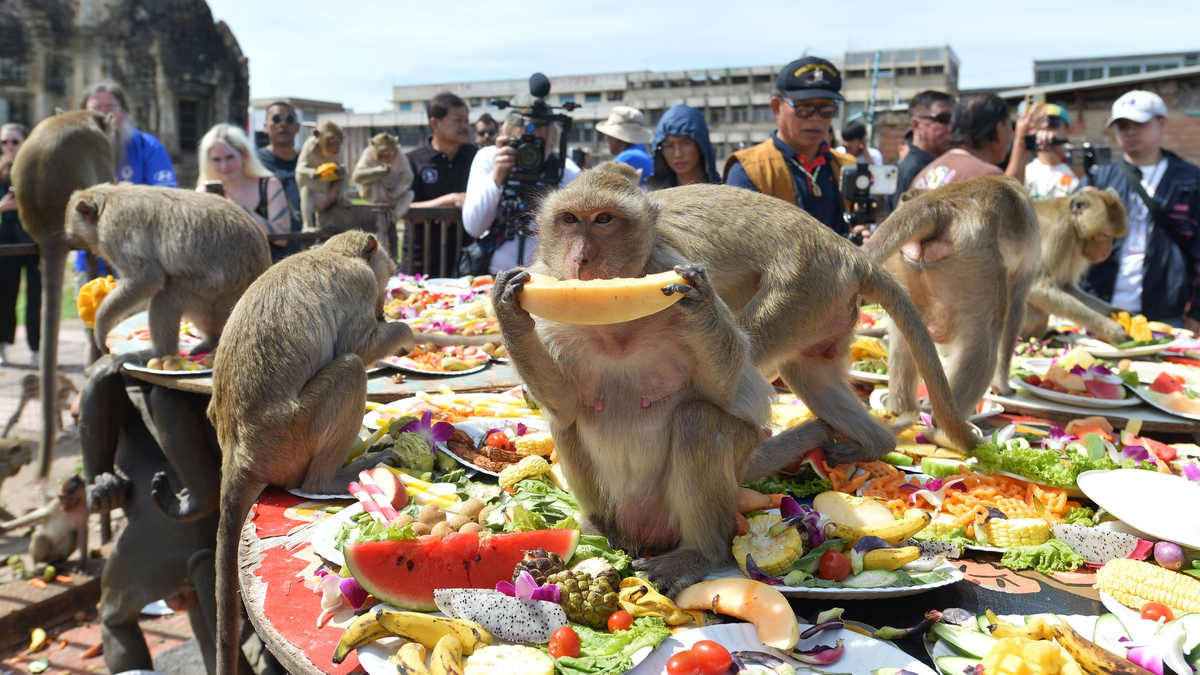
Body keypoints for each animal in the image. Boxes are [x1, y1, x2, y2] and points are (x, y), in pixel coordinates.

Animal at [65, 184, 272, 359]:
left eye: (73, 233)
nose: (70, 243)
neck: (108, 200)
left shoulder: (113, 231)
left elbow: (148, 278)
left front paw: (101, 324)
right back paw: (210, 341)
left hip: (216, 297)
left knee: (169, 293)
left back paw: (158, 353)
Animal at [205, 231, 415, 675]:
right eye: (385, 282)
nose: (383, 309)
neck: (331, 252)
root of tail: (237, 450)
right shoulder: (358, 284)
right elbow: (359, 345)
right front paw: (403, 332)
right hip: (293, 437)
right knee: (351, 367)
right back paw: (330, 479)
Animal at [493, 165, 961, 595]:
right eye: (570, 220)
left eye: (604, 219)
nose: (582, 259)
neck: (614, 325)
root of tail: (847, 250)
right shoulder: (551, 303)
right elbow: (565, 402)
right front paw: (507, 308)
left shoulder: (669, 264)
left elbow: (725, 393)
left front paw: (699, 302)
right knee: (568, 422)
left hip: (801, 293)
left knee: (700, 421)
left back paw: (698, 552)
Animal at [864, 175, 1041, 418]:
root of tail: (938, 204)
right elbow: (1015, 308)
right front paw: (1002, 385)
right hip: (978, 267)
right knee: (984, 344)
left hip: (904, 267)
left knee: (905, 338)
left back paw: (902, 409)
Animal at [1020, 190, 1131, 345]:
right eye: (1104, 234)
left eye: (1112, 236)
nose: (1107, 252)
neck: (1072, 220)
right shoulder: (1060, 231)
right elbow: (1038, 288)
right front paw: (1112, 330)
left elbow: (1066, 286)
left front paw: (1116, 311)